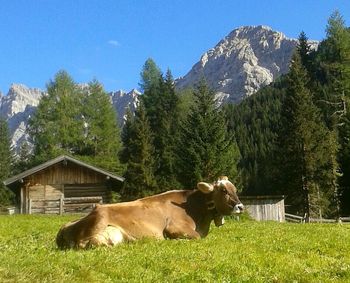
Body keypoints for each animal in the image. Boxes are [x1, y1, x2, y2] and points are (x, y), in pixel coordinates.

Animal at [56, 176, 243, 250]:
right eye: (224, 190)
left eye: (235, 189)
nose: (240, 206)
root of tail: (63, 229)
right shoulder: (174, 227)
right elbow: (196, 237)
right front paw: (176, 241)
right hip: (99, 216)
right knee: (84, 244)